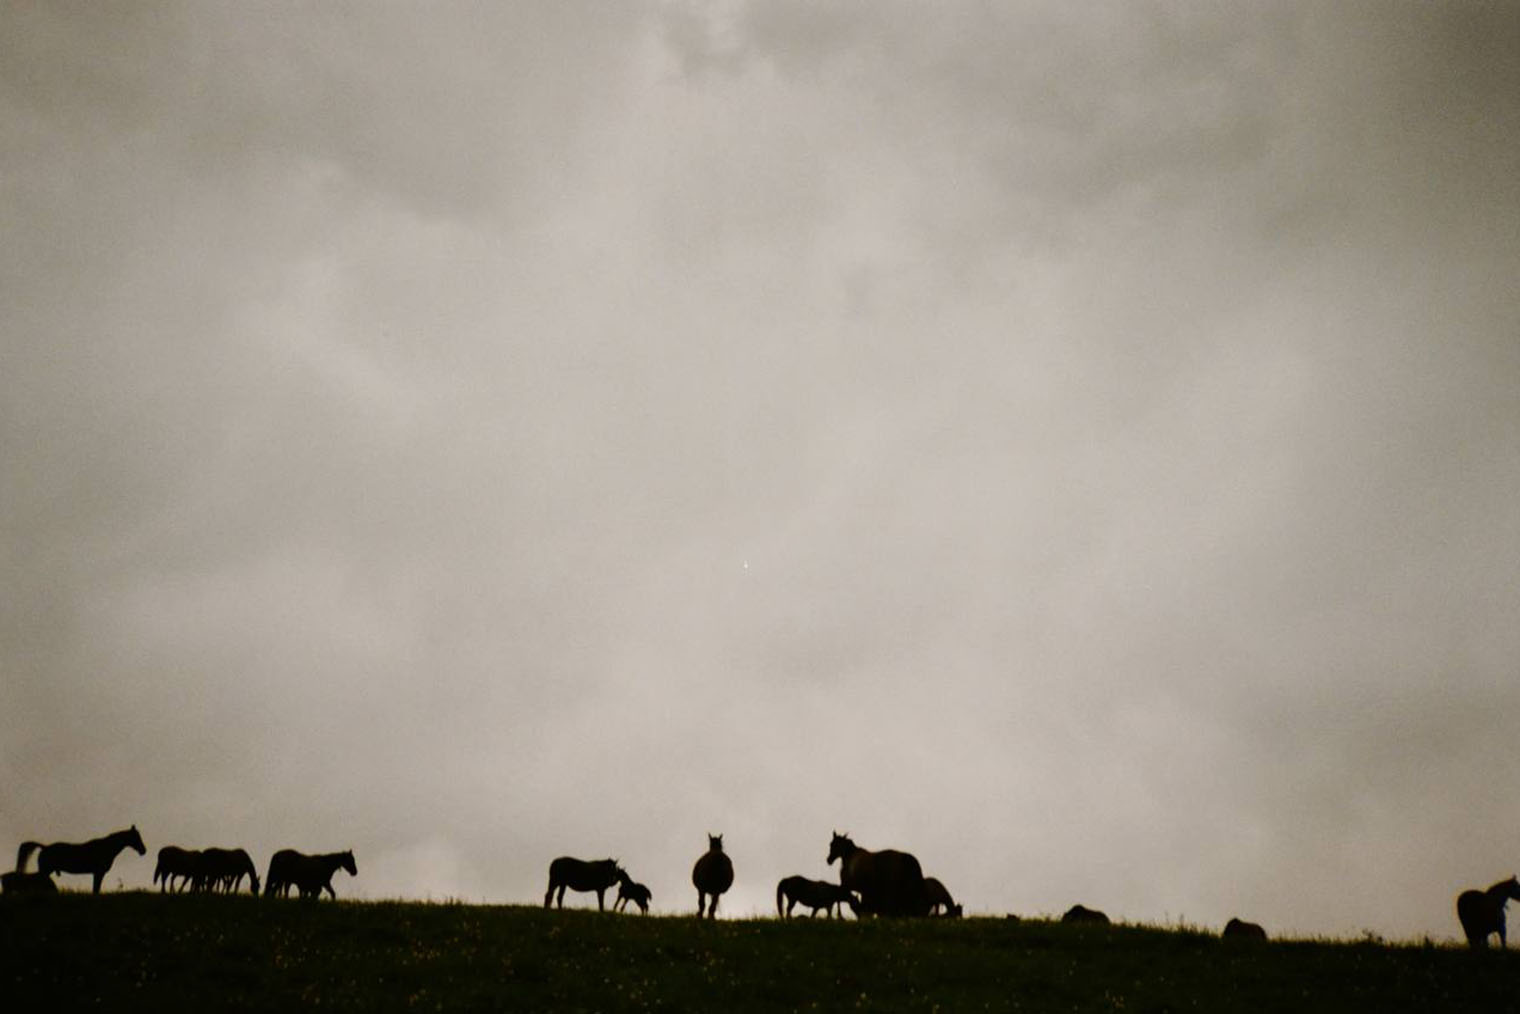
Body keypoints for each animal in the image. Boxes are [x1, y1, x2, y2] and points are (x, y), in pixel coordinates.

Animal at [16, 827, 145, 893]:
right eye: (136, 837)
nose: (144, 850)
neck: (106, 847)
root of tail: (45, 847)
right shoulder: (98, 873)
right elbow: (96, 890)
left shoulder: (97, 873)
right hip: (45, 871)